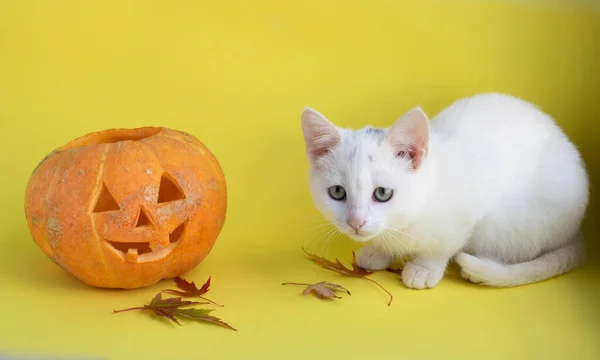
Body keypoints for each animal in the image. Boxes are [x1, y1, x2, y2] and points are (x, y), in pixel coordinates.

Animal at [302, 93, 588, 290]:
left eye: (382, 193)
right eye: (337, 192)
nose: (356, 222)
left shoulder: (466, 215)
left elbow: (444, 244)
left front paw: (424, 268)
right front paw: (380, 250)